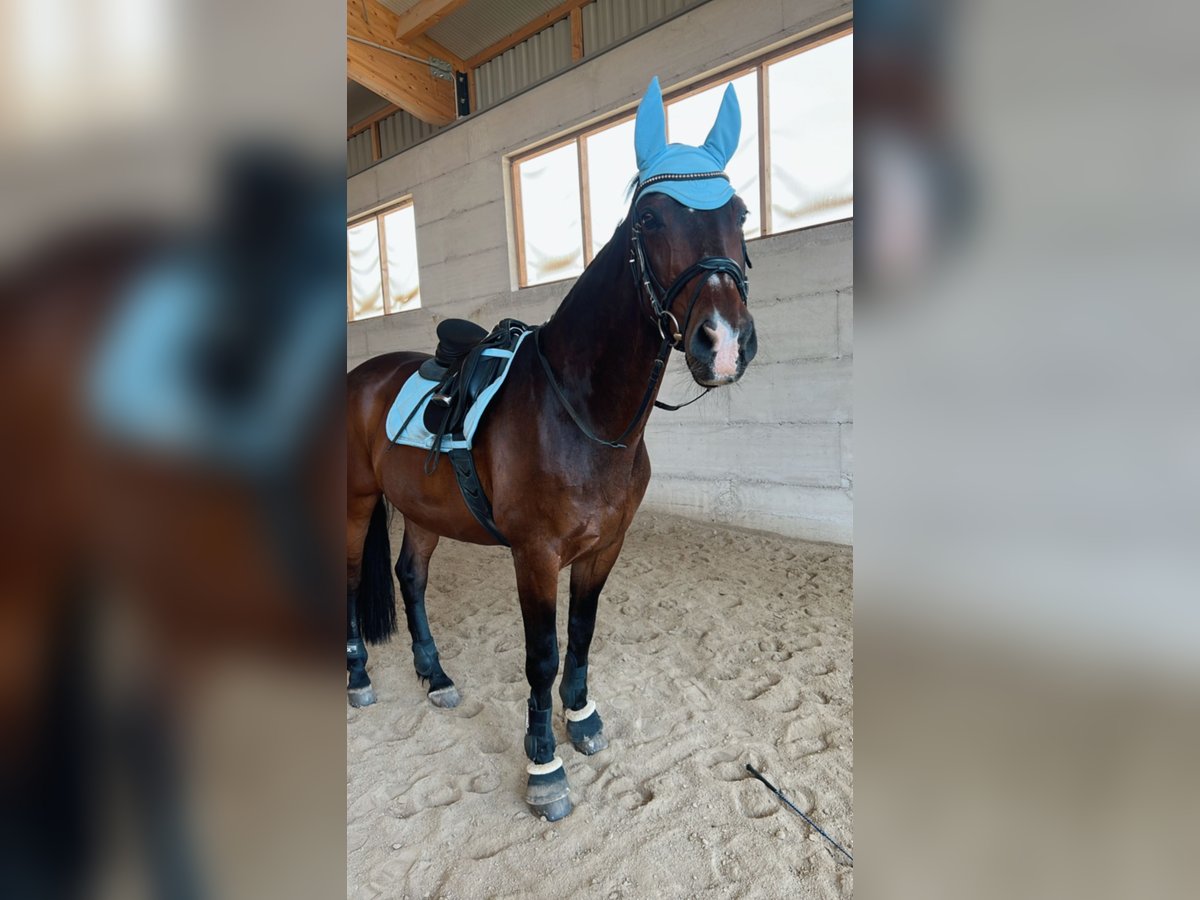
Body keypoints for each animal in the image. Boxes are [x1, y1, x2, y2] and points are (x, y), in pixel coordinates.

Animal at [348, 79, 758, 825]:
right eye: (650, 219)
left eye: (739, 212)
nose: (723, 343)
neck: (581, 414)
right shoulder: (534, 555)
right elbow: (540, 653)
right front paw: (544, 765)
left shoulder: (604, 546)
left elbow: (583, 631)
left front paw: (583, 717)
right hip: (355, 501)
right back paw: (359, 674)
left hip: (419, 508)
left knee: (410, 578)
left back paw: (435, 675)